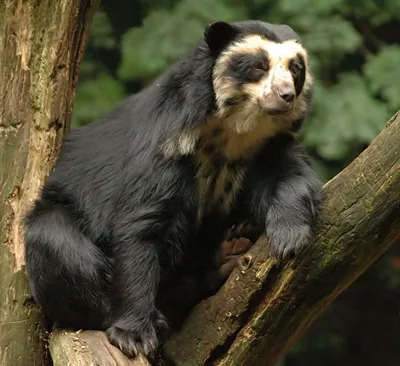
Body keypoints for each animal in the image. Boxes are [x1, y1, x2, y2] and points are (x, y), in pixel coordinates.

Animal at [24, 19, 322, 358]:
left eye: (295, 69)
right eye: (259, 66)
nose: (286, 95)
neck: (232, 133)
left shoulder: (266, 147)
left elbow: (289, 175)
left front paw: (289, 238)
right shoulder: (166, 145)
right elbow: (142, 226)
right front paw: (134, 335)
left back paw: (230, 251)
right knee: (56, 241)